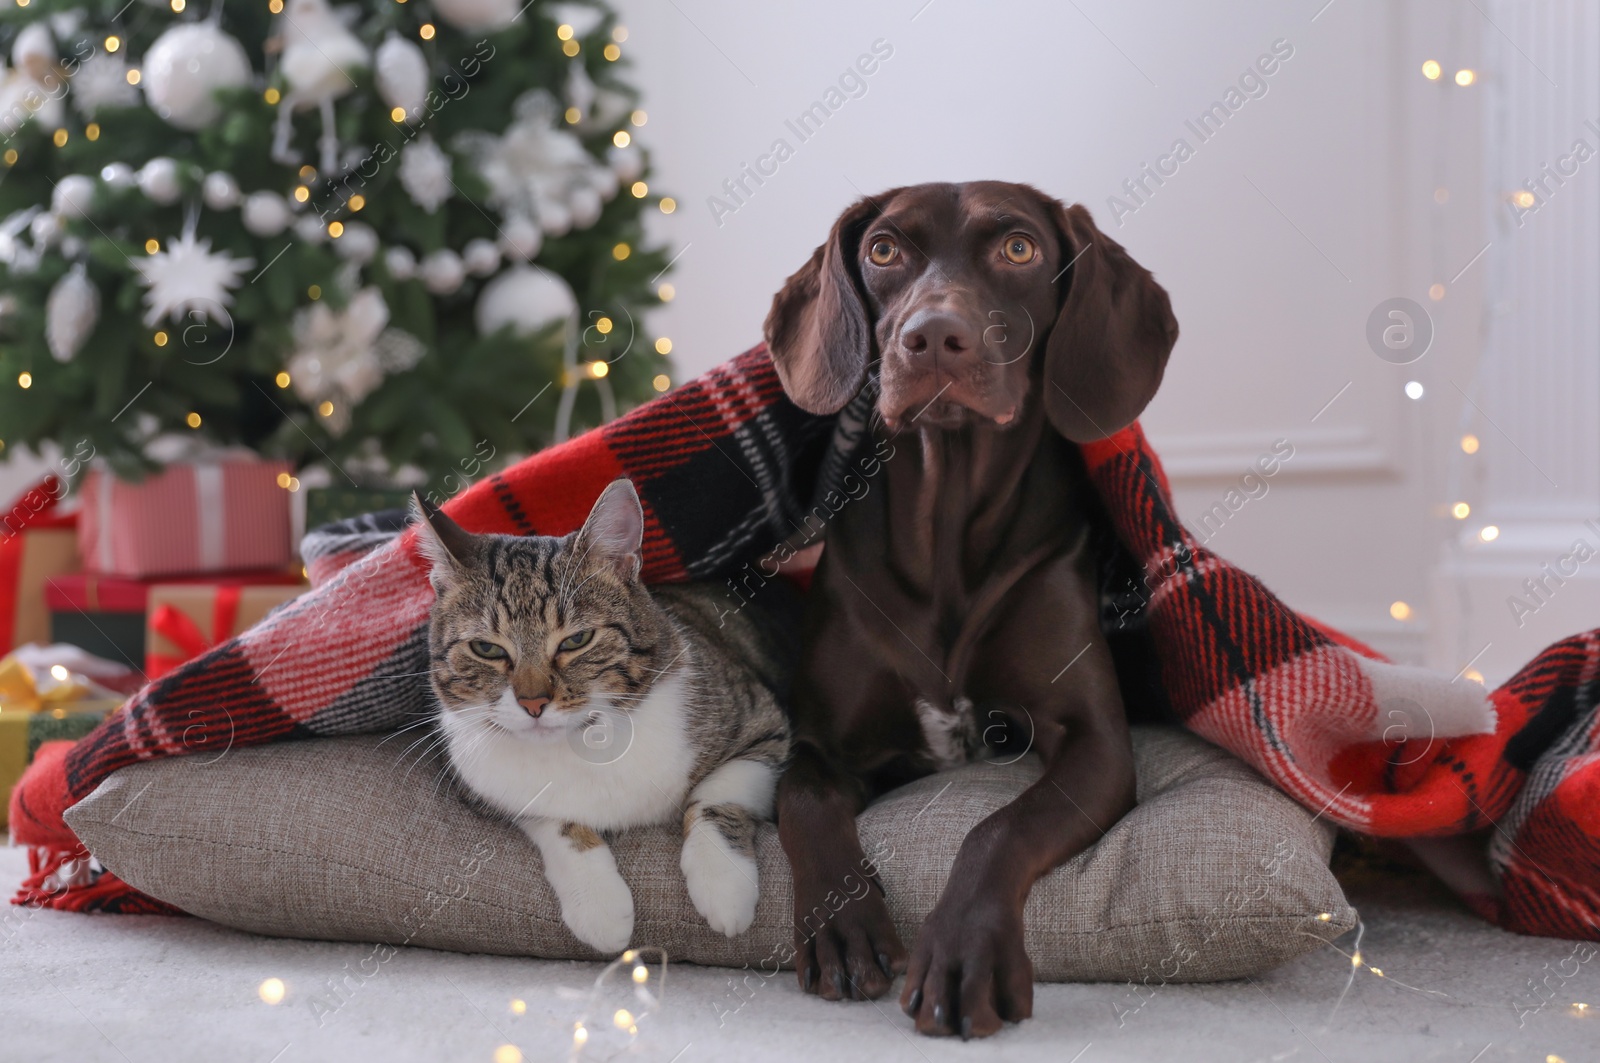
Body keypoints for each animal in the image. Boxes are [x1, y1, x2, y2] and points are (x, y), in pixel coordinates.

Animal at [406, 477, 793, 947]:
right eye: (486, 648)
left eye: (577, 640)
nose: (532, 703)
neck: (587, 740)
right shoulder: (487, 785)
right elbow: (555, 821)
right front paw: (599, 906)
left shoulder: (764, 725)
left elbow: (716, 795)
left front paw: (724, 886)